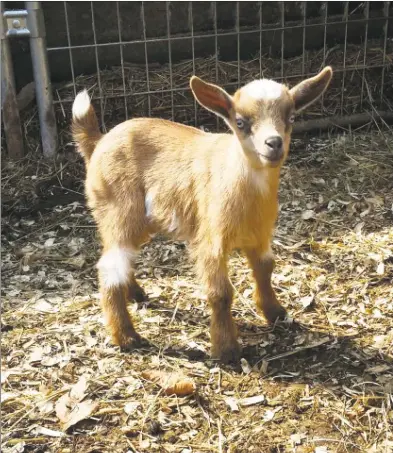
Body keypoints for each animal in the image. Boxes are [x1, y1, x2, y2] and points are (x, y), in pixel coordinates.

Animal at [72, 67, 330, 362]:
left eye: (291, 117)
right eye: (240, 122)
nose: (273, 143)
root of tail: (99, 141)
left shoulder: (261, 235)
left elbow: (265, 269)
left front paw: (276, 313)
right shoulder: (210, 238)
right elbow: (220, 293)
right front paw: (227, 350)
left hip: (136, 221)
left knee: (120, 258)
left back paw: (136, 295)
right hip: (119, 210)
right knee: (110, 267)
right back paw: (126, 337)